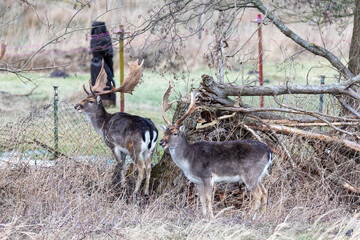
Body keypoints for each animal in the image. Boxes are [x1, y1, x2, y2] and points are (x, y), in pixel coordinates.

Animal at [74, 60, 158, 195]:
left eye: (91, 101)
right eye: (84, 98)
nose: (76, 106)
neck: (103, 126)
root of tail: (150, 130)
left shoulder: (113, 145)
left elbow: (118, 165)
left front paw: (118, 185)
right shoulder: (123, 151)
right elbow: (123, 166)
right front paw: (122, 185)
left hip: (134, 148)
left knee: (141, 167)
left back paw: (135, 192)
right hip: (151, 149)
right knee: (149, 167)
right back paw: (145, 191)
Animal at [159, 86, 272, 218]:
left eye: (175, 133)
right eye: (164, 132)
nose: (161, 142)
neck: (189, 159)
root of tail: (269, 151)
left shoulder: (207, 175)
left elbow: (208, 197)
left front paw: (211, 217)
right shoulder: (197, 180)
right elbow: (201, 198)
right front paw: (202, 216)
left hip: (250, 173)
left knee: (258, 193)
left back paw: (249, 216)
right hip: (259, 174)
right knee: (264, 191)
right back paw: (260, 216)